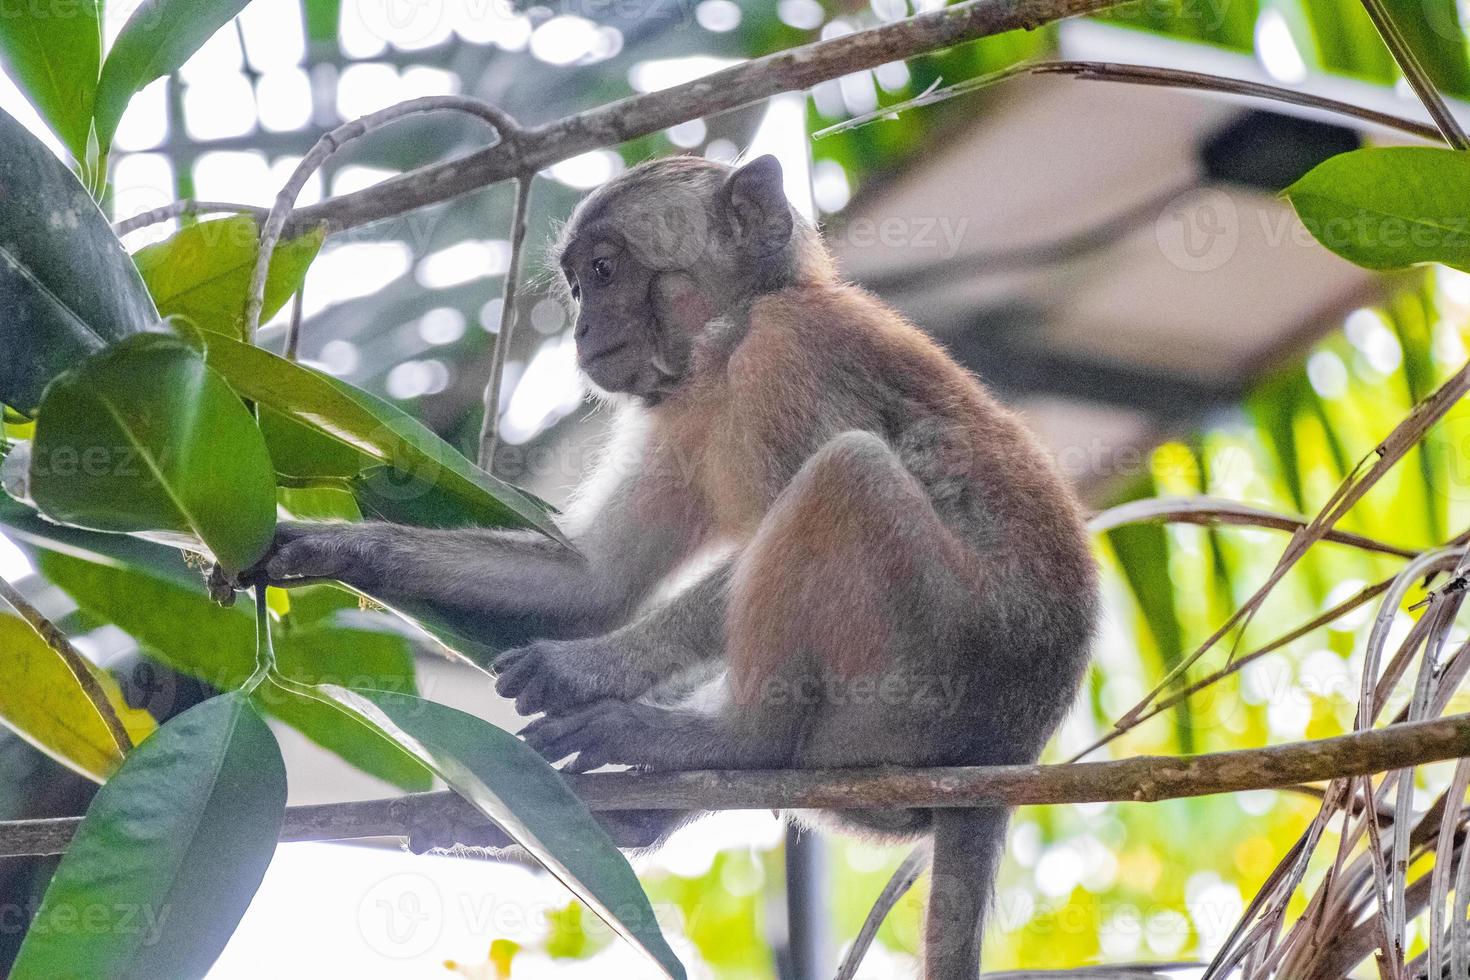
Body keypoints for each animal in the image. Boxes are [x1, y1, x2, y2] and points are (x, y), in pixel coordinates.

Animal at [241, 157, 1093, 975]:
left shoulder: (788, 356)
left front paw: (590, 668)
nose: (583, 327)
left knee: (847, 472)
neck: (731, 333)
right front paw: (333, 549)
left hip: (931, 674)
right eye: (579, 284)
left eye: (605, 270)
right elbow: (594, 583)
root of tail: (1008, 751)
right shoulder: (680, 412)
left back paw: (736, 742)